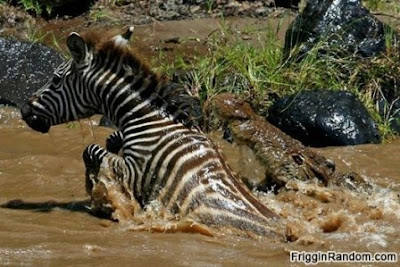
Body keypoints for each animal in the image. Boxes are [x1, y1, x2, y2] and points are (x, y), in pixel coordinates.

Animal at [21, 27, 284, 241]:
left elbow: (91, 150)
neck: (144, 118)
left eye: (56, 79)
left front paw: (98, 194)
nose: (24, 110)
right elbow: (109, 141)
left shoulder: (134, 171)